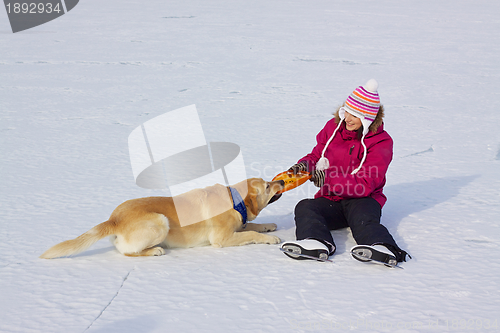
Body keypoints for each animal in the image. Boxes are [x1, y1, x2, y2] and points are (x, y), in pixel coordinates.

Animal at [41, 178, 284, 258]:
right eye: (267, 186)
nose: (282, 181)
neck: (235, 200)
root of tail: (114, 219)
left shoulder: (238, 226)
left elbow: (252, 224)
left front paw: (269, 226)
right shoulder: (222, 238)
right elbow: (250, 232)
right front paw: (270, 239)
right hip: (160, 222)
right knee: (129, 253)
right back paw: (155, 250)